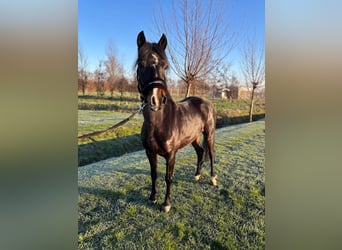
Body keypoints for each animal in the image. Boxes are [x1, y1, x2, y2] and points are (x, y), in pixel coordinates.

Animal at [136, 30, 216, 212]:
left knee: (211, 153)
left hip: (209, 134)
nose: (156, 100)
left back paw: (213, 179)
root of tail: (206, 102)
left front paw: (166, 203)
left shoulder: (171, 154)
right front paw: (152, 198)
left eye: (165, 66)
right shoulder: (149, 152)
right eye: (141, 64)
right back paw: (197, 175)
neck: (159, 122)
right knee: (200, 152)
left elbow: (168, 177)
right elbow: (154, 174)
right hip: (193, 137)